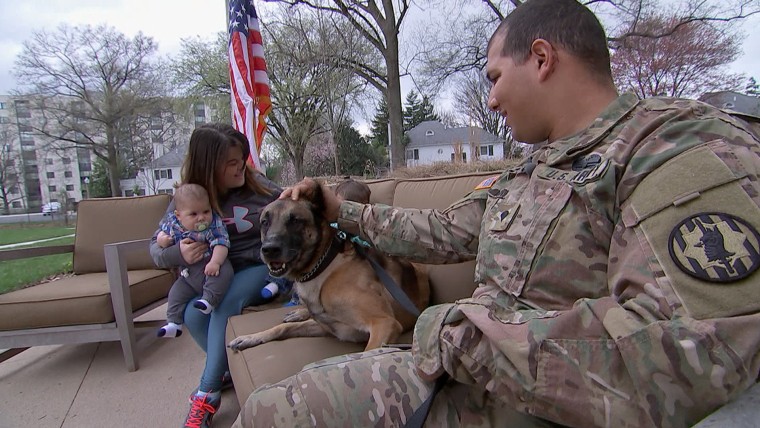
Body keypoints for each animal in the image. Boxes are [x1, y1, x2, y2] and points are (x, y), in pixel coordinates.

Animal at [226, 182, 430, 352]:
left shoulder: (384, 324)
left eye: (295, 220)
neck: (322, 268)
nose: (269, 249)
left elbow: (367, 353)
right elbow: (283, 327)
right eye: (264, 222)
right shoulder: (327, 327)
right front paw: (251, 337)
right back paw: (299, 312)